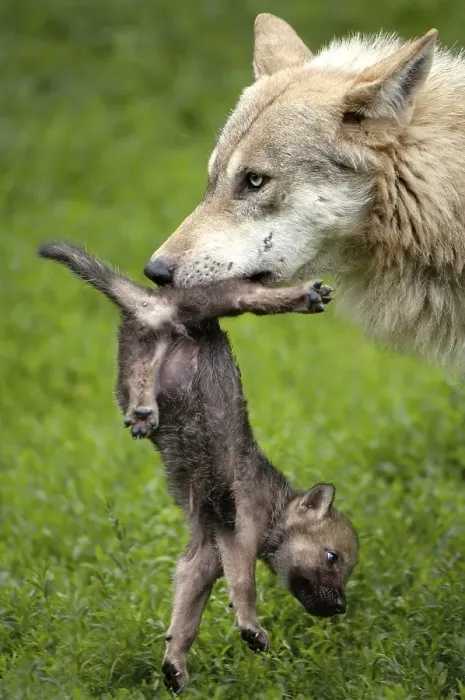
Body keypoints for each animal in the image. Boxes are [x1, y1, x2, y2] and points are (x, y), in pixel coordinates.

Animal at [39, 241, 359, 694]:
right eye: (332, 558)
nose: (342, 608)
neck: (273, 507)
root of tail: (148, 301)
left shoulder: (203, 556)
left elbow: (186, 618)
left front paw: (175, 667)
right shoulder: (237, 529)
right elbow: (245, 587)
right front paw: (252, 629)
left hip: (140, 342)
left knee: (141, 366)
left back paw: (143, 409)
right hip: (206, 302)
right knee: (248, 296)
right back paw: (302, 297)